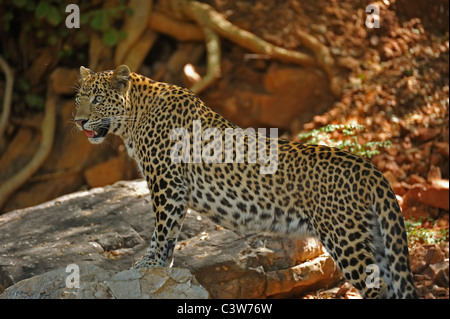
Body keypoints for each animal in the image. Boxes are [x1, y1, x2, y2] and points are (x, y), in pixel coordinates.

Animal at [74, 65, 418, 300]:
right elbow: (168, 236)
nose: (78, 121)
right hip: (377, 238)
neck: (133, 118)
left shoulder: (167, 184)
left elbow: (161, 231)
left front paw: (149, 265)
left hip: (345, 238)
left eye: (99, 99)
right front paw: (160, 271)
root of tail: (370, 169)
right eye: (79, 99)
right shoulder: (173, 189)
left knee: (376, 288)